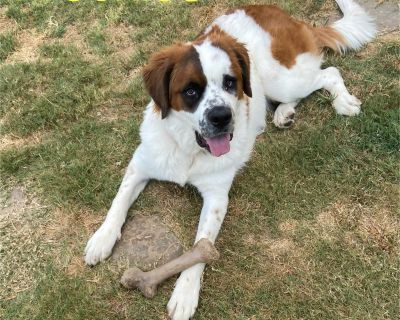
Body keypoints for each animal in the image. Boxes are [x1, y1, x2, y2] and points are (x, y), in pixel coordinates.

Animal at [83, 1, 376, 318]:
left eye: (229, 83)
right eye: (191, 91)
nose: (222, 116)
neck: (189, 148)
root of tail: (279, 14)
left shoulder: (216, 198)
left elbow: (201, 246)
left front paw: (185, 292)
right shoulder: (141, 163)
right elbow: (119, 201)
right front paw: (102, 238)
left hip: (283, 80)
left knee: (329, 72)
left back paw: (341, 102)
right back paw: (283, 113)